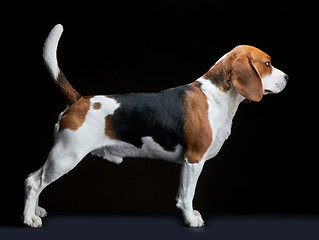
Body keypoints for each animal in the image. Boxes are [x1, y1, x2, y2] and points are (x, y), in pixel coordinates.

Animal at [21, 24, 288, 227]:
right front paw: (191, 219)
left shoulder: (189, 162)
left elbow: (183, 193)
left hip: (60, 155)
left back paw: (36, 211)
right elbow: (187, 195)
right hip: (66, 156)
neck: (217, 95)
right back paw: (29, 219)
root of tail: (79, 100)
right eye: (268, 64)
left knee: (32, 178)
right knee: (34, 183)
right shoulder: (194, 160)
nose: (287, 77)